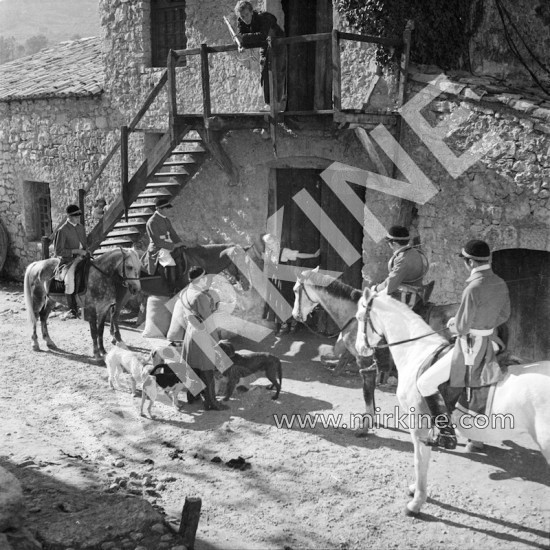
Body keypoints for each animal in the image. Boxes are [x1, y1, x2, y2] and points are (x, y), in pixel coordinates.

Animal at [356, 288, 548, 516]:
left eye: (359, 317)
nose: (359, 349)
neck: (416, 353)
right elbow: (424, 460)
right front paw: (415, 490)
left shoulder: (418, 424)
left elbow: (419, 460)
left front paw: (416, 502)